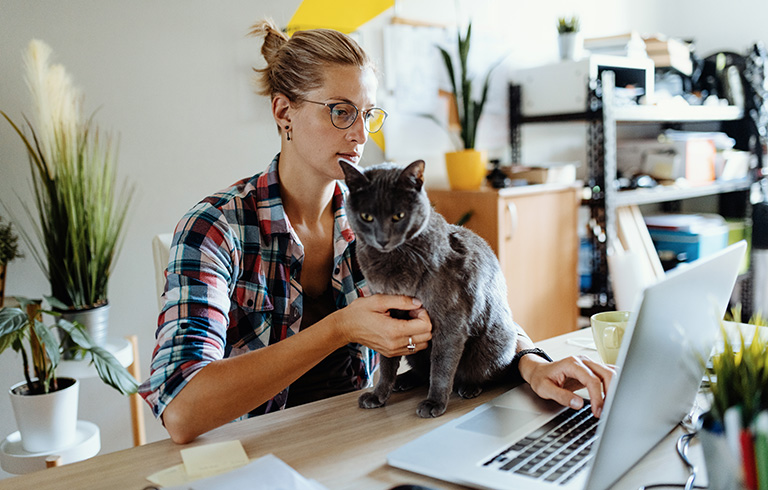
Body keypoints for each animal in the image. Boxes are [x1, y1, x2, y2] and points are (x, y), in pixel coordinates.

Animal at [342, 160, 520, 418]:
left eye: (399, 215)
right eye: (366, 216)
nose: (382, 239)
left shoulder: (450, 321)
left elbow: (441, 365)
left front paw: (434, 402)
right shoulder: (387, 317)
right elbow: (387, 361)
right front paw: (379, 394)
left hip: (494, 341)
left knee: (487, 373)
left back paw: (469, 386)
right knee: (421, 370)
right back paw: (403, 381)